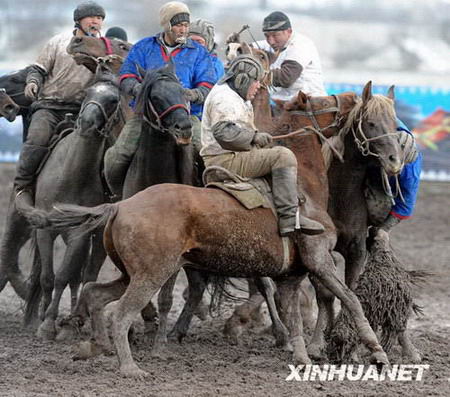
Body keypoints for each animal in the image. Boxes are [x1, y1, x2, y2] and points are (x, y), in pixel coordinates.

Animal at [36, 81, 400, 378]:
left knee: (95, 294)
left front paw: (302, 357)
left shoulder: (290, 277)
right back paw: (130, 367)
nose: (395, 159)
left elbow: (294, 316)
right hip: (151, 274)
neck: (305, 188)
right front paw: (377, 354)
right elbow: (351, 299)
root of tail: (120, 206)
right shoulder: (320, 261)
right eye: (368, 121)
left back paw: (94, 346)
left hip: (131, 273)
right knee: (122, 315)